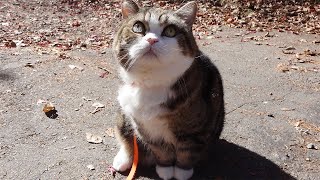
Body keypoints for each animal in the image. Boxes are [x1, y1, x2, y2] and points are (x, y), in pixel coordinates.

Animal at [112, 0, 225, 179]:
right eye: (138, 27)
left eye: (170, 31)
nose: (152, 40)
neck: (151, 82)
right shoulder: (146, 129)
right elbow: (160, 150)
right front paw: (164, 169)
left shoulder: (194, 132)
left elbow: (187, 152)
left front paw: (181, 172)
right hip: (123, 113)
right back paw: (123, 159)